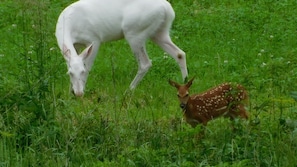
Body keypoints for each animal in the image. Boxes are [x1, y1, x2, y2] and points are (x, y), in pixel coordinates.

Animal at [54, 0, 186, 96]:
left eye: (82, 71)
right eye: (70, 73)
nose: (78, 93)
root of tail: (167, 8)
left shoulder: (94, 39)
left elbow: (89, 66)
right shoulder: (76, 45)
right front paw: (70, 93)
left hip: (134, 32)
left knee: (145, 63)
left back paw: (129, 90)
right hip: (159, 32)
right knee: (179, 53)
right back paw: (184, 85)